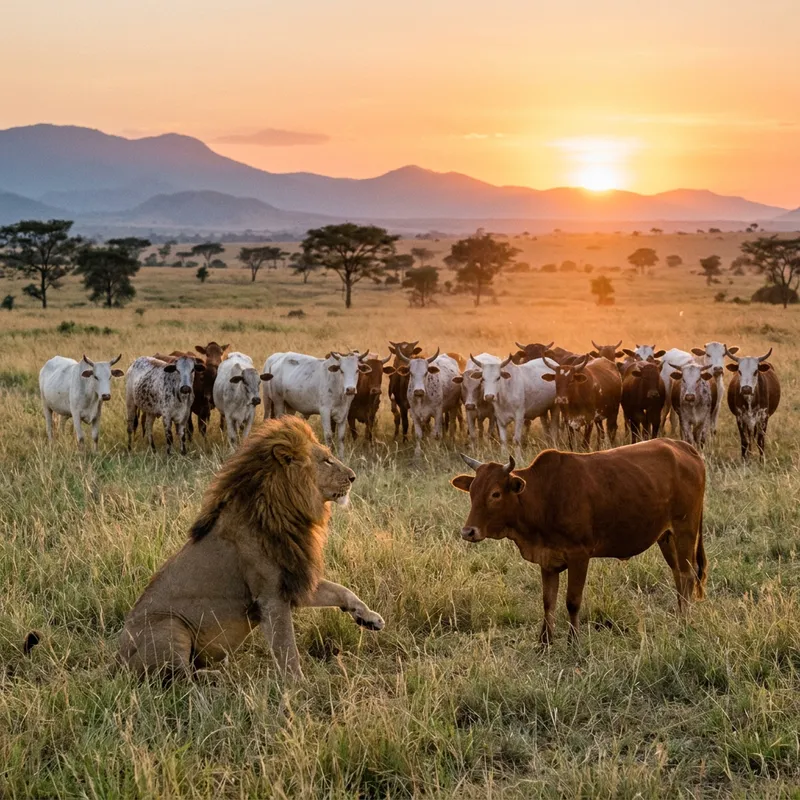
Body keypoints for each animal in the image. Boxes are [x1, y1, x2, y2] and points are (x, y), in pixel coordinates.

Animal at [118, 415, 384, 680]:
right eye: (327, 460)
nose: (353, 476)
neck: (286, 512)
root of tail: (116, 660)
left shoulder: (294, 579)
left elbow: (342, 591)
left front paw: (369, 618)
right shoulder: (271, 596)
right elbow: (287, 649)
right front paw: (298, 685)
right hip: (170, 626)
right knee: (179, 676)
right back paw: (217, 677)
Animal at [451, 443, 707, 643]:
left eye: (495, 494)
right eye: (472, 491)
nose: (468, 531)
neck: (544, 495)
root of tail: (683, 447)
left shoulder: (579, 556)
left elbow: (572, 601)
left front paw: (573, 642)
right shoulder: (547, 559)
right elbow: (548, 602)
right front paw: (544, 642)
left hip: (685, 530)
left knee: (687, 575)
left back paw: (685, 623)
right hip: (666, 537)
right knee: (678, 573)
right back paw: (680, 615)